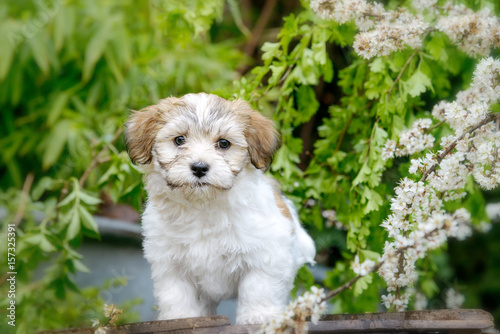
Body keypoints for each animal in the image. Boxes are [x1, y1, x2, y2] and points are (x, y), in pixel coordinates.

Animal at [123, 92, 314, 324]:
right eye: (179, 140)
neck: (204, 205)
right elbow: (176, 295)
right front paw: (180, 318)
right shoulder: (170, 263)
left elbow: (258, 288)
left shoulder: (267, 254)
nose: (199, 167)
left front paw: (257, 316)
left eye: (223, 143)